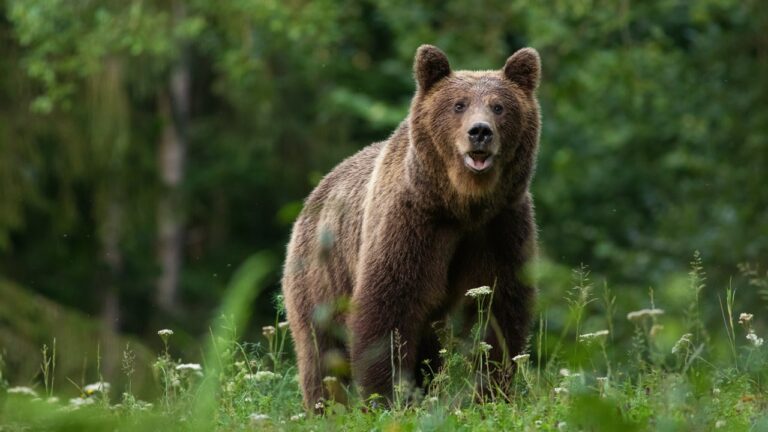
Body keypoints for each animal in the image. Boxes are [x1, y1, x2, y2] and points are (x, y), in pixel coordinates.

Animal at [282, 44, 541, 410]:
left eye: (499, 106)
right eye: (459, 104)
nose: (480, 132)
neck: (462, 205)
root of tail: (315, 192)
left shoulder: (500, 227)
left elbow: (499, 310)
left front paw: (491, 392)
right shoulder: (413, 223)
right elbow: (389, 307)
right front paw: (387, 396)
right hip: (320, 275)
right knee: (321, 350)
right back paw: (326, 406)